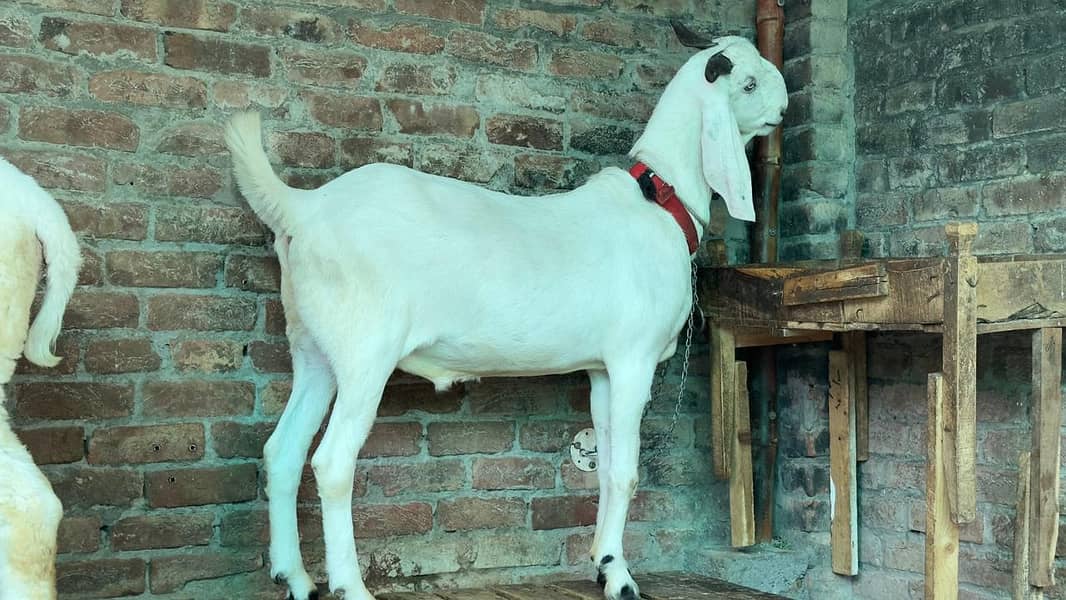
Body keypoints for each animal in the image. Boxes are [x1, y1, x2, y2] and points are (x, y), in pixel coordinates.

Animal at [225, 32, 787, 600]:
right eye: (748, 83)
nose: (784, 106)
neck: (659, 201)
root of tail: (303, 208)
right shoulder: (634, 358)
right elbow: (627, 472)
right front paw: (622, 578)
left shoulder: (602, 368)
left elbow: (607, 466)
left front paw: (603, 561)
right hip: (365, 351)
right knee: (332, 462)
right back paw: (350, 586)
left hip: (314, 348)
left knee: (283, 451)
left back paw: (294, 577)